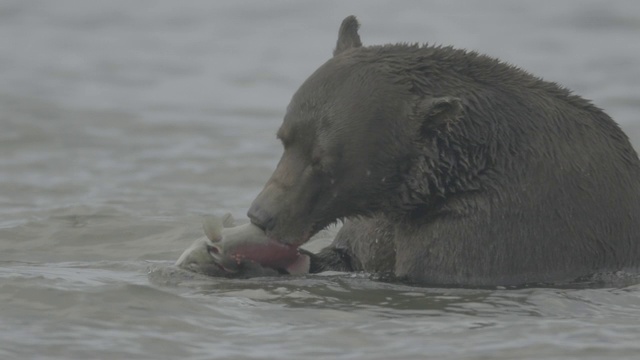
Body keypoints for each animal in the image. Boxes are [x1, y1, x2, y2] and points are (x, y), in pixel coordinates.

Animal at [242, 16, 640, 286]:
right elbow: (351, 253)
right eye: (284, 138)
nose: (261, 215)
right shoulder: (382, 223)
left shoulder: (492, 230)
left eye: (322, 160)